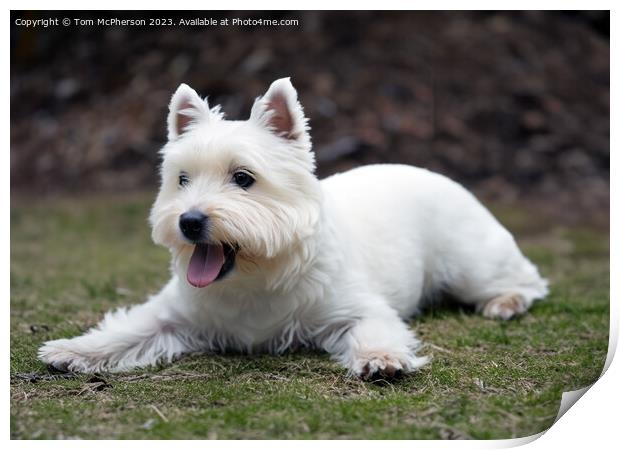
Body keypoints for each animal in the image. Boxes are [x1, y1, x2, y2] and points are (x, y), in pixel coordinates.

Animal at [37, 78, 548, 380]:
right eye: (181, 180)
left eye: (243, 178)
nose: (189, 221)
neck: (256, 274)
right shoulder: (173, 314)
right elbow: (129, 330)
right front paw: (75, 350)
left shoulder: (358, 309)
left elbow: (375, 329)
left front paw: (381, 359)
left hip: (470, 265)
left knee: (528, 279)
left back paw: (506, 302)